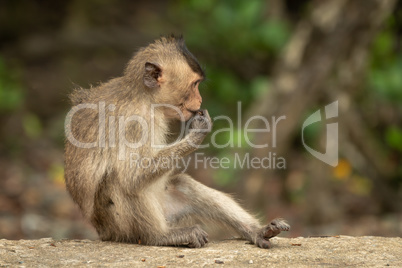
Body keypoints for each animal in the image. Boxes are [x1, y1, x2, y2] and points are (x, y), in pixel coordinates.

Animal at [63, 34, 288, 248]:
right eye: (194, 84)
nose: (200, 101)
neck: (145, 98)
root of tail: (103, 232)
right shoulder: (133, 123)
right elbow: (130, 175)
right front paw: (196, 134)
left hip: (167, 209)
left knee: (182, 184)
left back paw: (257, 231)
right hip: (118, 226)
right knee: (117, 181)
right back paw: (158, 236)